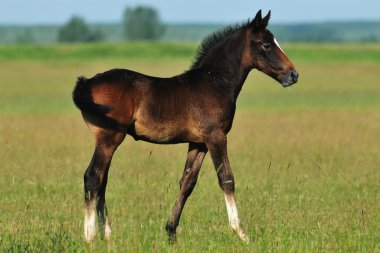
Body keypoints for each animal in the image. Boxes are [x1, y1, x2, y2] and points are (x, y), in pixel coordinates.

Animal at [73, 9, 300, 243]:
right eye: (266, 44)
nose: (293, 74)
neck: (215, 82)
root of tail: (87, 83)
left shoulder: (198, 143)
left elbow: (187, 182)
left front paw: (171, 233)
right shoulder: (216, 137)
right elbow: (226, 179)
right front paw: (242, 233)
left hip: (108, 142)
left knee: (102, 181)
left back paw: (108, 237)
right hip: (109, 139)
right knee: (93, 178)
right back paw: (90, 238)